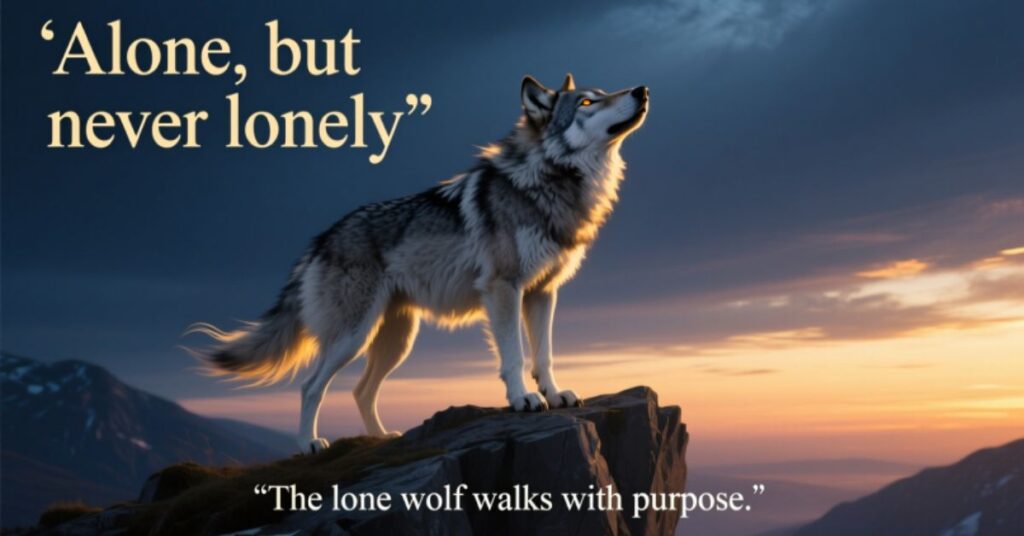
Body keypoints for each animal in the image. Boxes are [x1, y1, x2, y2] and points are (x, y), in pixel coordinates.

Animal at [189, 74, 649, 453]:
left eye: (602, 92)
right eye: (587, 102)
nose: (642, 91)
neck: (549, 181)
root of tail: (319, 241)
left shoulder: (542, 293)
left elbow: (545, 356)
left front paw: (554, 395)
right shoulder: (504, 288)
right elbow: (516, 356)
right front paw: (523, 399)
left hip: (396, 340)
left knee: (360, 391)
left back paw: (381, 438)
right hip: (352, 337)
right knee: (310, 386)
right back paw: (310, 445)